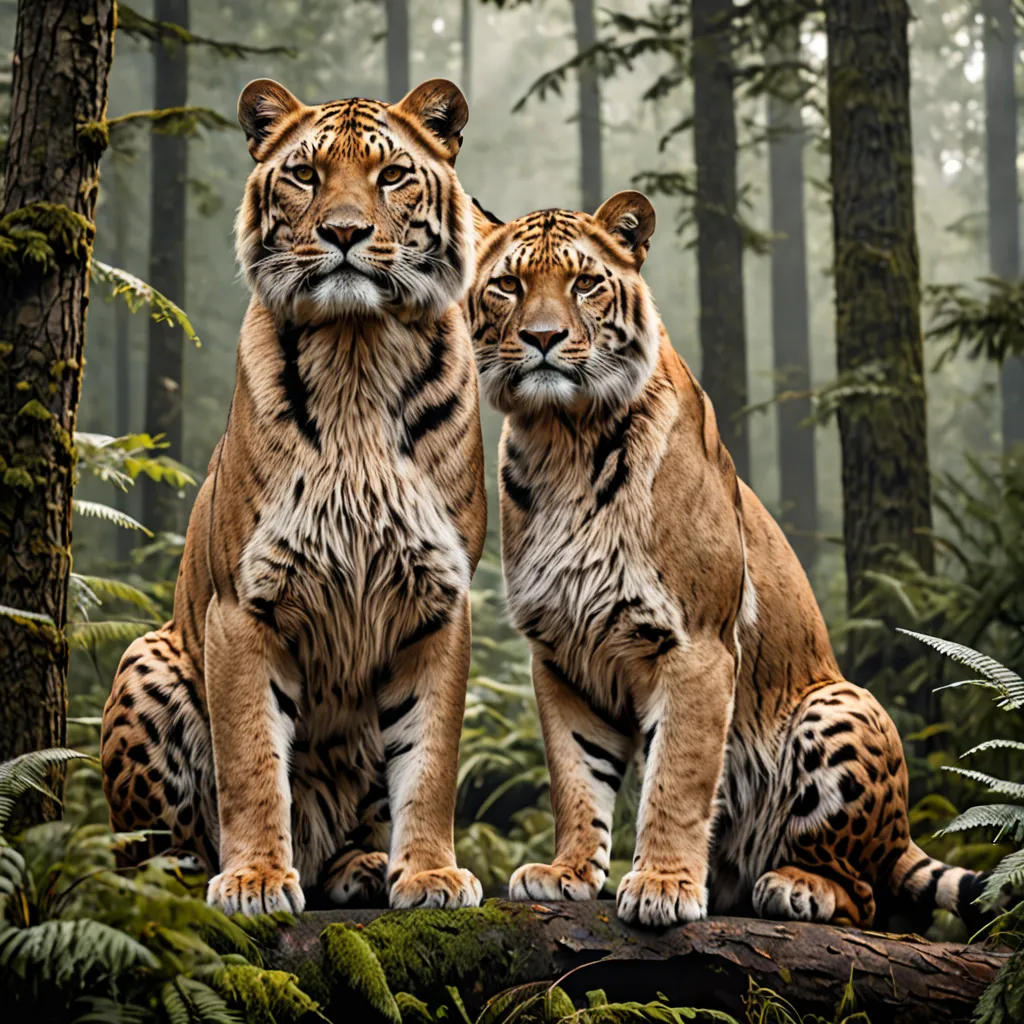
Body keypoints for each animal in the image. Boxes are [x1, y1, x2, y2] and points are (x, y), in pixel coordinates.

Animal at [100, 77, 487, 916]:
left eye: (391, 176)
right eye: (306, 175)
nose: (343, 232)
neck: (357, 351)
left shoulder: (439, 601)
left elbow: (432, 757)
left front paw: (431, 875)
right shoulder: (244, 602)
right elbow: (250, 758)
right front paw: (252, 879)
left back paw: (358, 865)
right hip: (146, 656)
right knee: (142, 853)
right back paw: (192, 877)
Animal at [466, 190, 987, 929]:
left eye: (585, 283)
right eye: (509, 285)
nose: (543, 338)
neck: (561, 440)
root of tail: (904, 830)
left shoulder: (697, 645)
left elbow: (677, 778)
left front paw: (661, 885)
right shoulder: (562, 654)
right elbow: (574, 775)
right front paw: (567, 871)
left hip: (842, 705)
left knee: (865, 895)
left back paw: (797, 885)